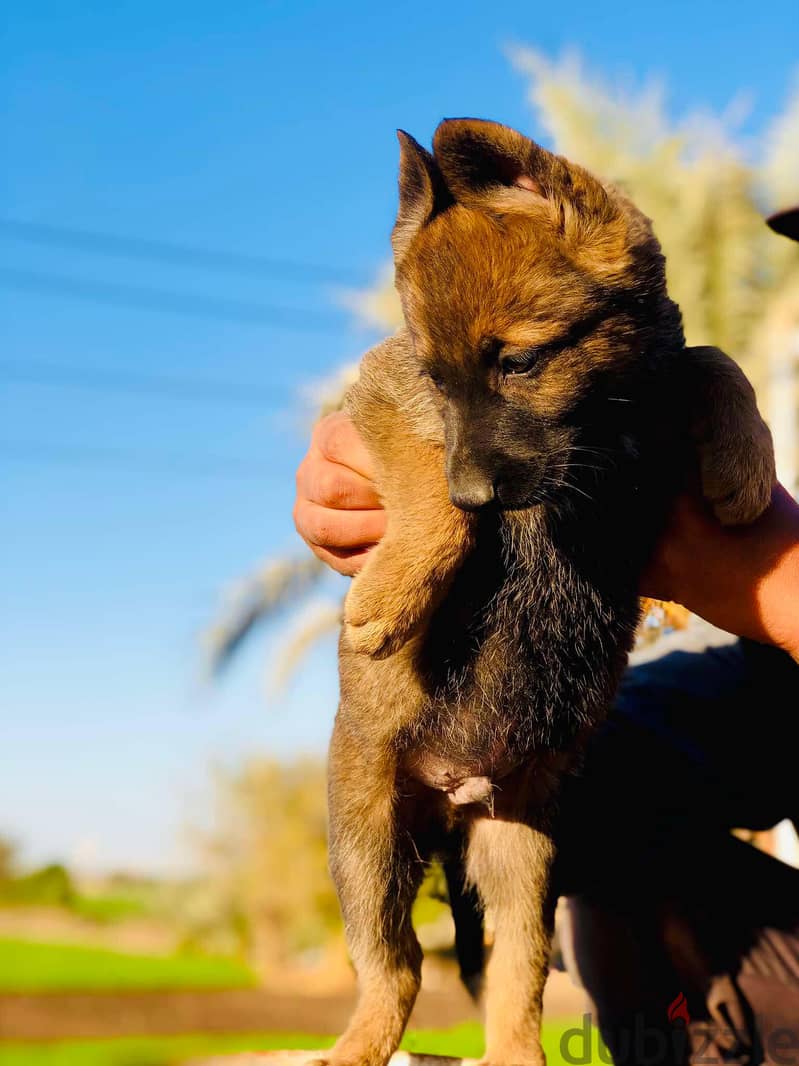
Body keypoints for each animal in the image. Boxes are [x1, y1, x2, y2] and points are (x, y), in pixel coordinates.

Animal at [317, 120, 775, 1066]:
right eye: (436, 379)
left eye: (519, 362)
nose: (478, 498)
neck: (608, 412)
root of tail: (450, 797)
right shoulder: (381, 394)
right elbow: (425, 476)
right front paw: (396, 586)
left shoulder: (666, 374)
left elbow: (712, 358)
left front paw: (745, 461)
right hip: (369, 841)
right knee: (395, 965)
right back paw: (358, 1045)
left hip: (521, 860)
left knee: (513, 976)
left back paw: (515, 1054)